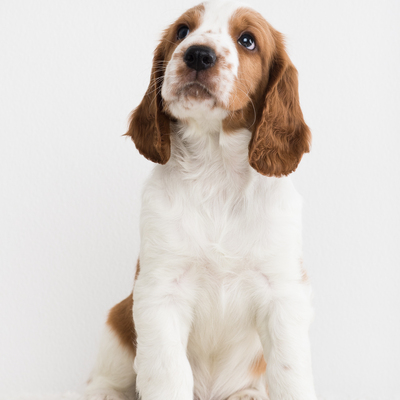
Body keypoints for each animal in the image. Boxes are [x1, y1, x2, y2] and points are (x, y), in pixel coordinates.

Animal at [85, 1, 316, 400]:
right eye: (182, 31)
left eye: (247, 40)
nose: (197, 54)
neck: (216, 170)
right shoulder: (160, 289)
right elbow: (167, 374)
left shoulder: (283, 291)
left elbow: (290, 373)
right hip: (119, 321)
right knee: (104, 378)